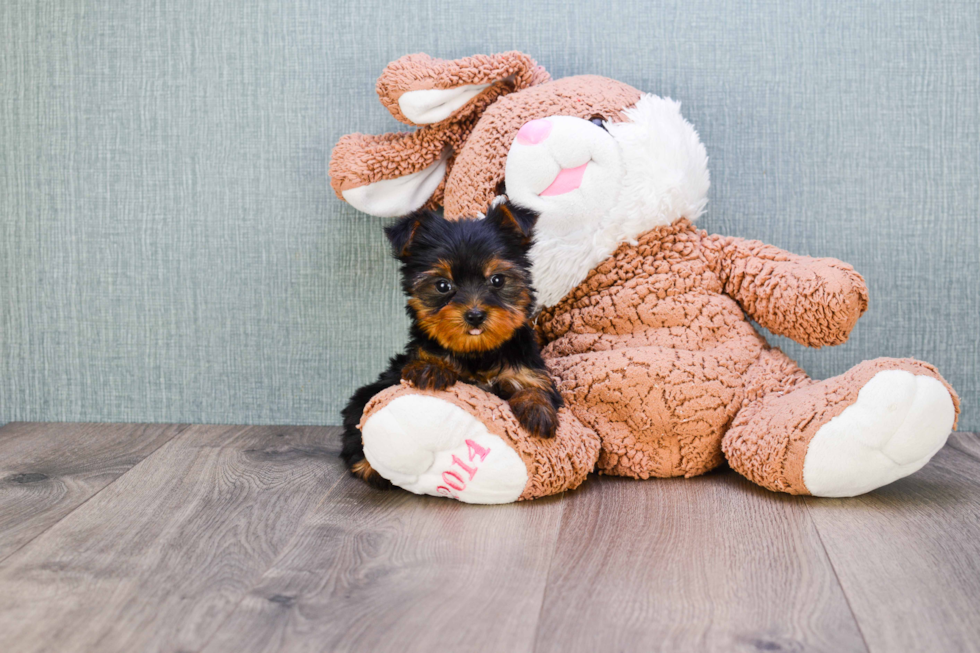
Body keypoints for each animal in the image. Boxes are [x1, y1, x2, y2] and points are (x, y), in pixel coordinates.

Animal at [342, 201, 560, 486]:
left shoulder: (528, 369)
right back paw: (369, 466)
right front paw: (432, 369)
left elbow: (537, 388)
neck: (477, 352)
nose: (475, 314)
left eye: (497, 280)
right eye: (443, 285)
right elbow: (421, 365)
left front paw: (538, 411)